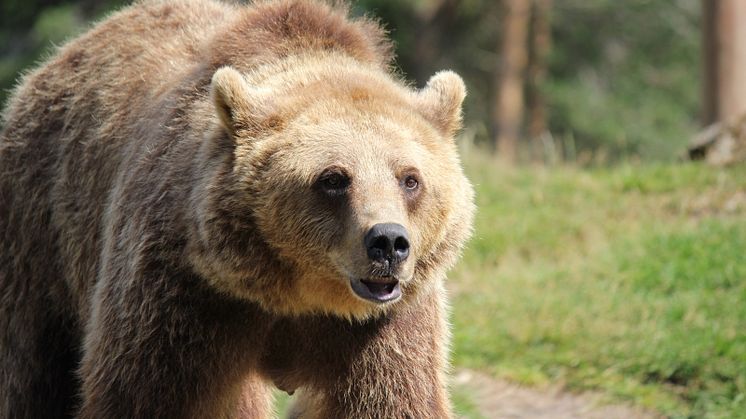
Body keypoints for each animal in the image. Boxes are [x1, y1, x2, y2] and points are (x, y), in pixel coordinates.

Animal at [0, 0, 474, 418]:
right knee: (31, 366)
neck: (299, 293)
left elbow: (390, 400)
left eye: (410, 178)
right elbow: (153, 395)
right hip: (42, 226)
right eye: (334, 178)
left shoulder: (384, 328)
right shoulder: (185, 295)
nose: (388, 242)